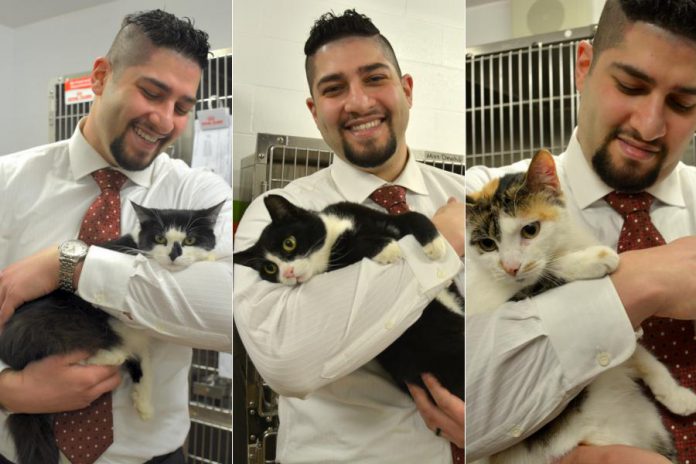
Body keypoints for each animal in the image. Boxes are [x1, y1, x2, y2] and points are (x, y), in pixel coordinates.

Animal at [0, 201, 223, 464]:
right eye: (159, 238)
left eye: (190, 239)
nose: (174, 254)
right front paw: (211, 256)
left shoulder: (137, 336)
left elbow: (144, 360)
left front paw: (144, 402)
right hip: (59, 322)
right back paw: (100, 357)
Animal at [234, 195, 462, 398]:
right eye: (270, 269)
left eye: (289, 243)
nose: (288, 273)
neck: (336, 231)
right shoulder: (338, 265)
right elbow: (353, 248)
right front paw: (388, 249)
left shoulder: (368, 214)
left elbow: (413, 216)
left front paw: (436, 244)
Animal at [464, 150, 696, 464]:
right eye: (487, 244)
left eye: (530, 230)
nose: (511, 267)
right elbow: (544, 277)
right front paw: (593, 259)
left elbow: (639, 353)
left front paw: (676, 394)